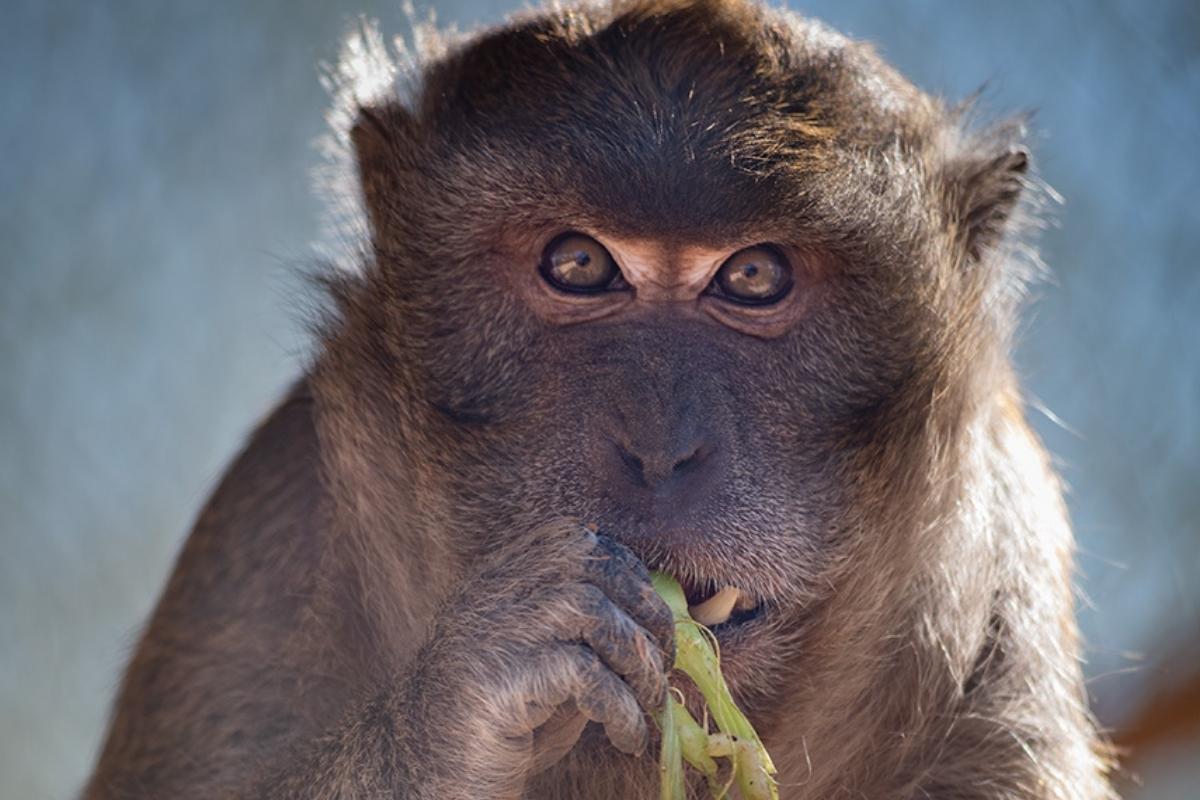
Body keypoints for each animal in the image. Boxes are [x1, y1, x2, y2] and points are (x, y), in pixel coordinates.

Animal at [83, 0, 1115, 797]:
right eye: (578, 264)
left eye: (754, 277)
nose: (660, 447)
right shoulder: (265, 534)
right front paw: (459, 703)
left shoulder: (1004, 591)